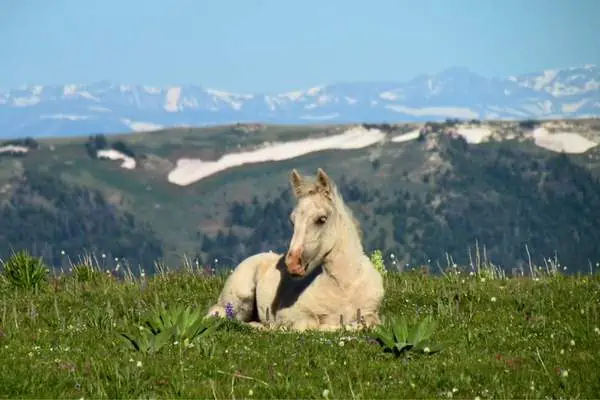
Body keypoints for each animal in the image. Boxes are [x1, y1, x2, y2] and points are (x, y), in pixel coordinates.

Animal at [206, 166, 384, 332]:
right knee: (219, 315)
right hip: (238, 299)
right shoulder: (291, 314)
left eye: (322, 219)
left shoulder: (370, 313)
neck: (344, 287)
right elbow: (312, 324)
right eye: (293, 221)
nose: (292, 264)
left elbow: (369, 323)